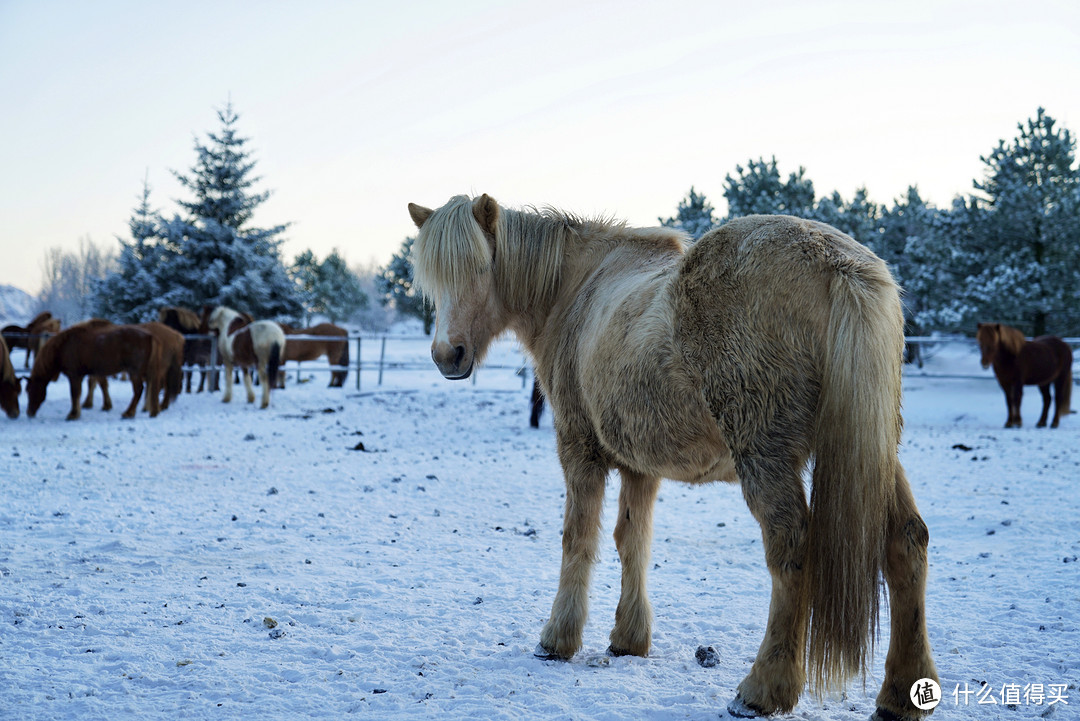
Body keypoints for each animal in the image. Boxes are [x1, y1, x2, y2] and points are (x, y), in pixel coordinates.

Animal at [26, 321, 162, 423]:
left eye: (30, 390)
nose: (29, 413)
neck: (64, 347)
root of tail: (150, 336)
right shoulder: (83, 375)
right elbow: (81, 393)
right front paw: (78, 412)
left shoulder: (74, 375)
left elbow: (74, 394)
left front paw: (73, 414)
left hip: (134, 372)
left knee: (139, 390)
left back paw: (129, 413)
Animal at [406, 194, 937, 721]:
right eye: (432, 282)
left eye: (480, 268)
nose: (447, 355)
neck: (577, 289)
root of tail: (837, 264)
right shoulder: (641, 464)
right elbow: (632, 541)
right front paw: (628, 639)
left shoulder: (579, 448)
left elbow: (578, 539)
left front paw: (557, 640)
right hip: (872, 453)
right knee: (906, 542)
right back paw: (900, 694)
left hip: (766, 455)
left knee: (791, 548)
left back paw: (763, 689)